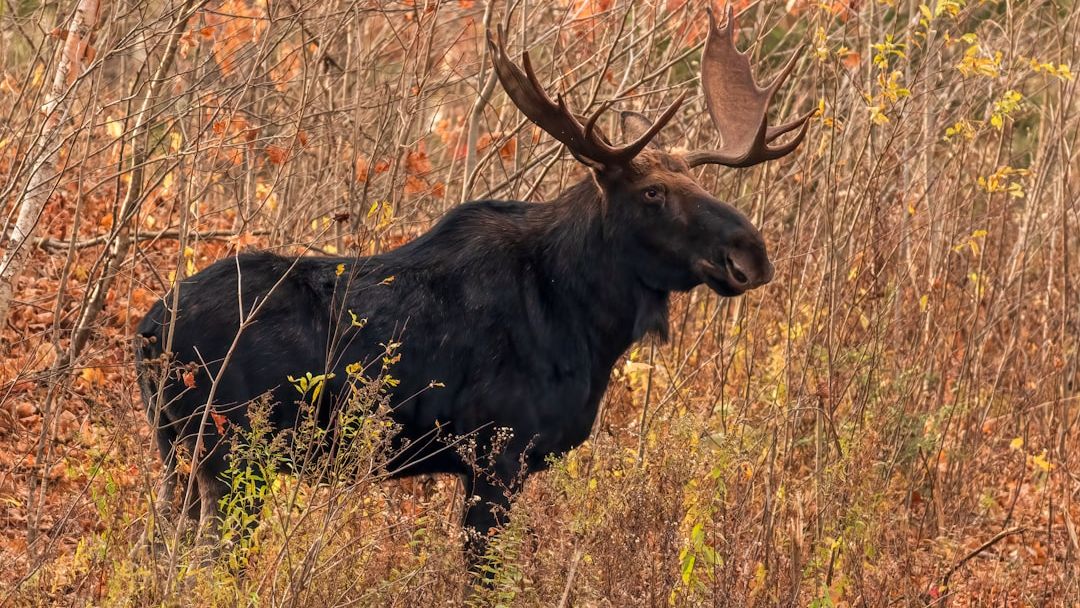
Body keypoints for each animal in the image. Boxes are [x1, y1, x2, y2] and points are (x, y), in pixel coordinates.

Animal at [134, 6, 811, 567]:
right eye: (652, 193)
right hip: (229, 455)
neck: (587, 323)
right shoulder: (495, 455)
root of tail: (145, 332)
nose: (751, 254)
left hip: (178, 459)